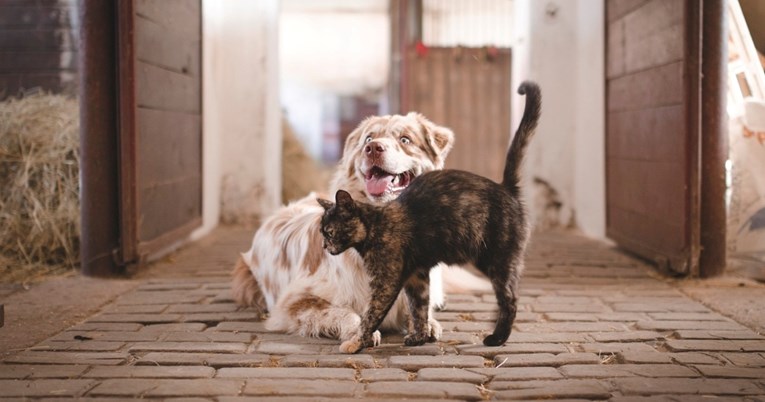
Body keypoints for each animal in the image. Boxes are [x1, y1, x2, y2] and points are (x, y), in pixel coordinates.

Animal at [228, 112, 454, 342]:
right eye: (368, 139)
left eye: (405, 139)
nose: (373, 148)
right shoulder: (293, 301)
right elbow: (344, 312)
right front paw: (359, 332)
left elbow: (417, 306)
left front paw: (426, 324)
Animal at [320, 81, 540, 352]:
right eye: (322, 232)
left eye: (330, 232)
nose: (324, 246)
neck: (376, 225)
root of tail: (505, 188)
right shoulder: (417, 276)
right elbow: (419, 308)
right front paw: (420, 336)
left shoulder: (386, 282)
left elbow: (371, 315)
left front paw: (356, 342)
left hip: (497, 260)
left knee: (510, 299)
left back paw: (496, 337)